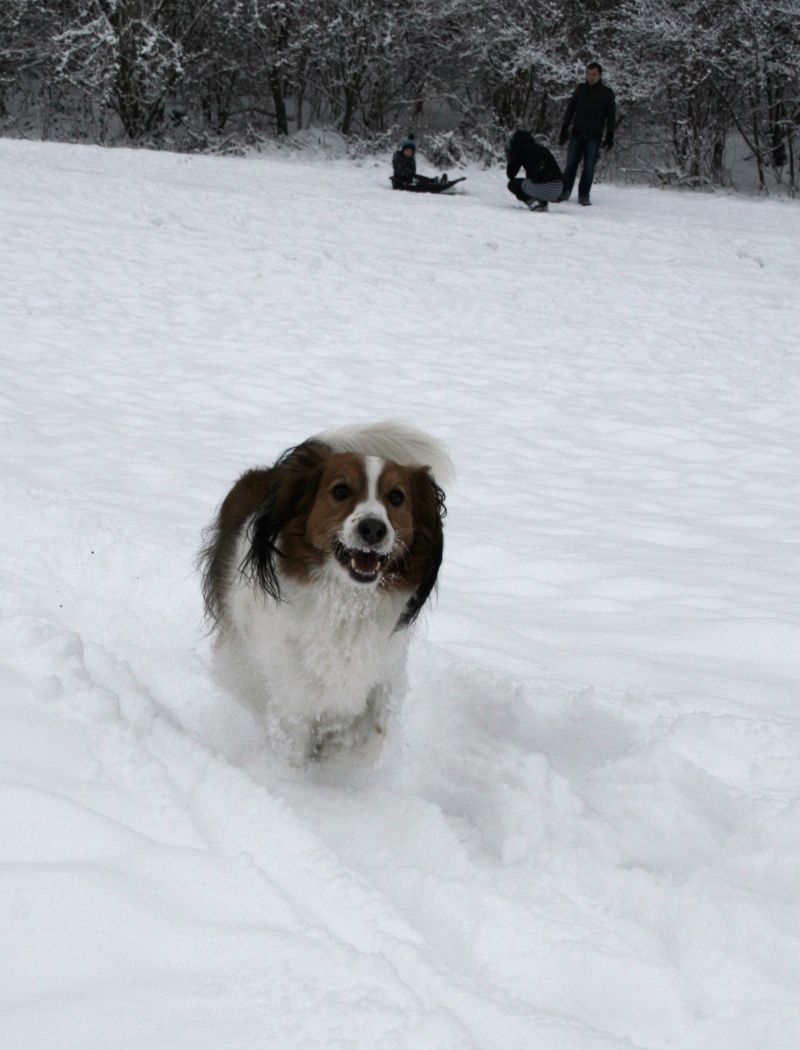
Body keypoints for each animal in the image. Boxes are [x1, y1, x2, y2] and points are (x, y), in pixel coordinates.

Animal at [197, 422, 451, 768]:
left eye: (397, 497)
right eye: (341, 491)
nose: (374, 528)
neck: (346, 602)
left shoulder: (383, 670)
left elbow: (371, 737)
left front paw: (337, 749)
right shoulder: (291, 691)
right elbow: (295, 746)